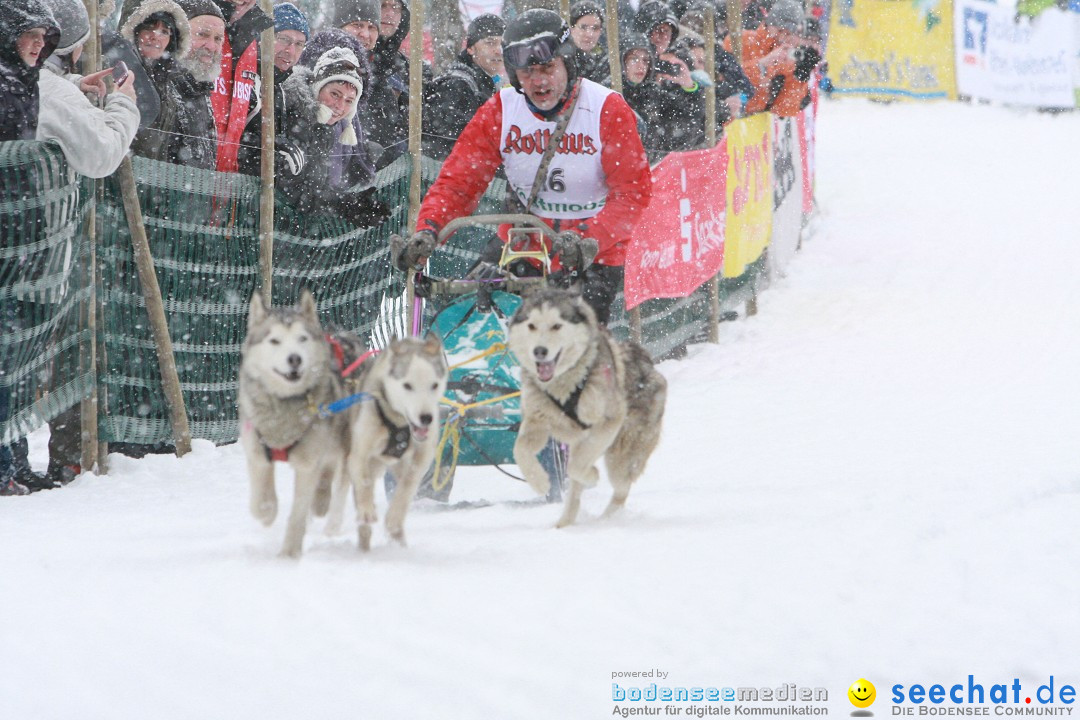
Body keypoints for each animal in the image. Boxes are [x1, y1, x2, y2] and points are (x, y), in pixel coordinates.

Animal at [235, 289, 362, 561]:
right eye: (274, 341)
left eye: (302, 338)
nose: (295, 358)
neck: (285, 404)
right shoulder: (257, 451)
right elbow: (260, 499)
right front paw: (267, 513)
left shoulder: (308, 462)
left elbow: (298, 512)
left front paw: (289, 554)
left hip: (345, 441)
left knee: (339, 481)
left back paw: (328, 515)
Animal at [326, 334, 449, 548]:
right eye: (407, 385)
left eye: (434, 385)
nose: (426, 418)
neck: (398, 422)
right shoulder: (359, 454)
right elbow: (363, 482)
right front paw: (367, 510)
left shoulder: (421, 459)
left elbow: (406, 489)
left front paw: (394, 521)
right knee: (342, 487)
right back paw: (336, 527)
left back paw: (397, 539)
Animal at [505, 289, 665, 528]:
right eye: (531, 325)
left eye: (557, 325)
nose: (539, 351)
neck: (564, 386)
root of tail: (648, 363)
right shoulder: (537, 421)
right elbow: (519, 450)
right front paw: (539, 482)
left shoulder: (608, 421)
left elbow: (576, 468)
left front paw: (592, 476)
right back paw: (564, 523)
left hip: (620, 456)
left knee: (620, 490)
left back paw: (605, 520)